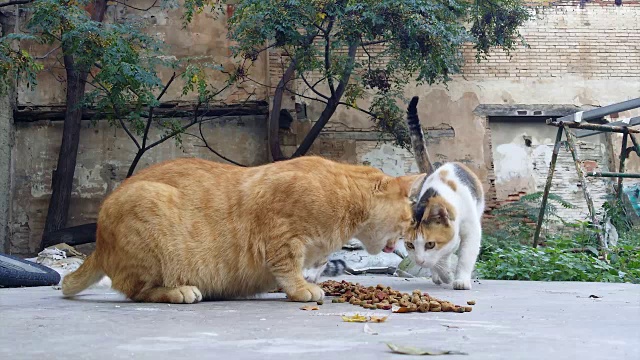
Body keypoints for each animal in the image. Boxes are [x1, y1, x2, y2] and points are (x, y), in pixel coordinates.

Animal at [61, 156, 424, 302]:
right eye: (408, 219)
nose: (407, 240)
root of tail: (99, 243)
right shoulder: (279, 234)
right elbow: (287, 266)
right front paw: (300, 288)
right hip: (147, 212)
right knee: (138, 292)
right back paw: (179, 291)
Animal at [404, 95, 484, 290]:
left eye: (430, 244)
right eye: (410, 245)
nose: (419, 261)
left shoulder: (471, 230)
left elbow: (465, 257)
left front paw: (460, 280)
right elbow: (439, 260)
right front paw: (444, 274)